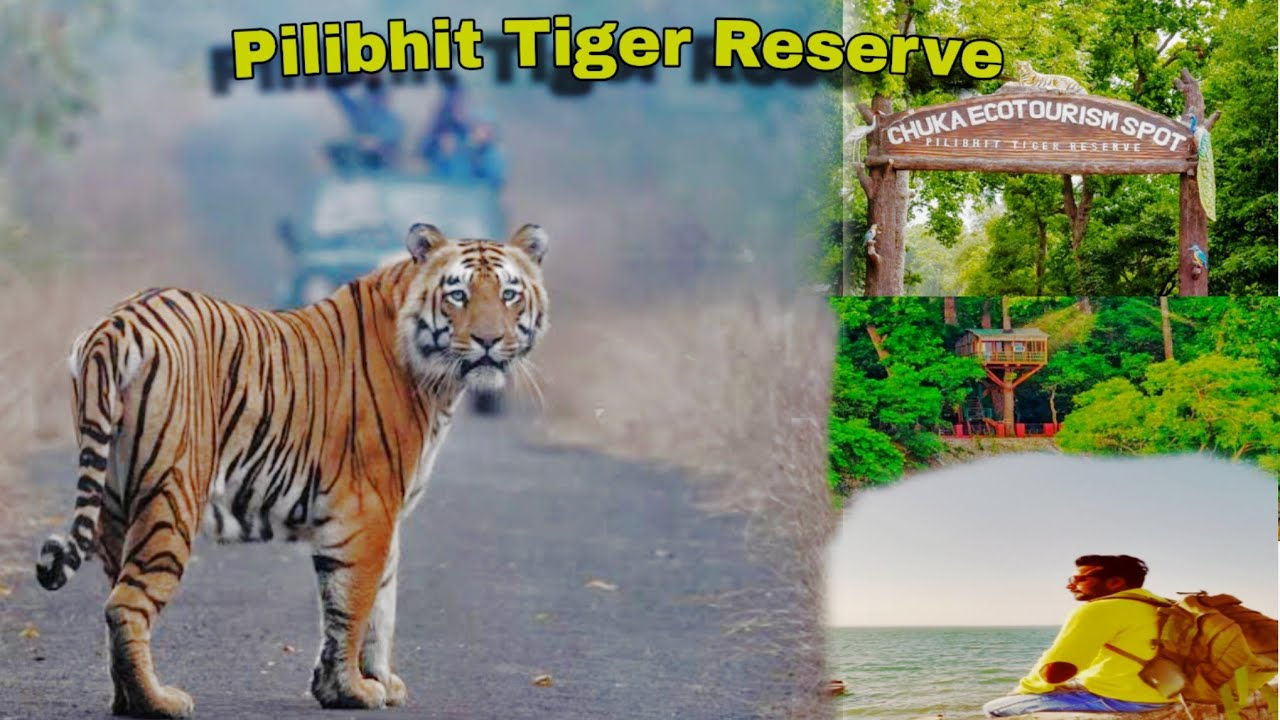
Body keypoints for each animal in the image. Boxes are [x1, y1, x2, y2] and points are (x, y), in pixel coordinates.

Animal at [35, 222, 549, 718]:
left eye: (509, 294)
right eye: (457, 294)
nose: (488, 341)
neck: (437, 382)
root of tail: (116, 324)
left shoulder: (379, 518)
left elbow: (377, 605)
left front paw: (366, 683)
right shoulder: (367, 512)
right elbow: (355, 606)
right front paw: (355, 691)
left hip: (114, 504)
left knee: (116, 597)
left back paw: (125, 699)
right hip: (172, 495)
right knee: (126, 604)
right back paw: (158, 702)